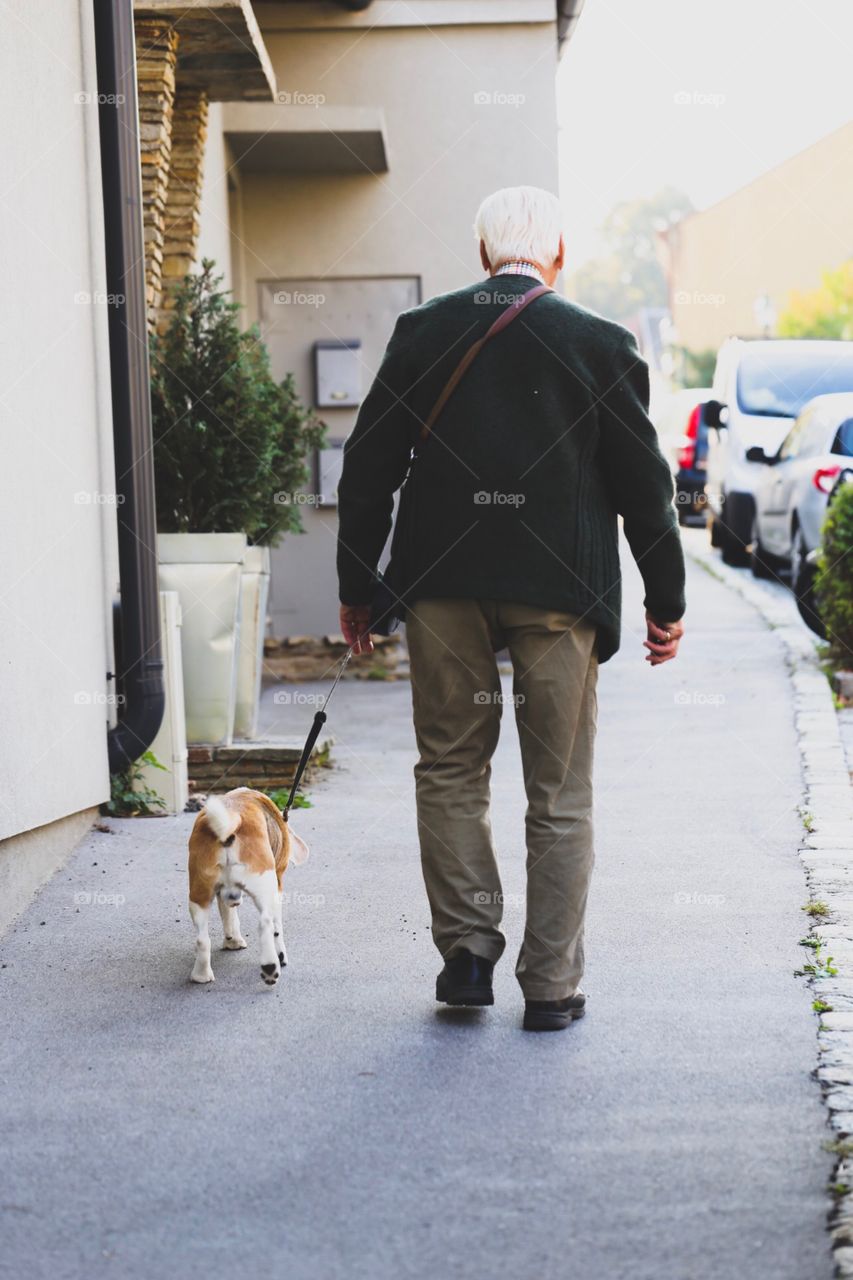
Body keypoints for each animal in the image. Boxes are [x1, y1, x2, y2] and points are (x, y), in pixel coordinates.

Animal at [185, 783, 308, 983]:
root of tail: (230, 821)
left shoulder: (222, 894)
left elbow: (229, 916)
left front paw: (232, 942)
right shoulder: (277, 887)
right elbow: (277, 928)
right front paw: (281, 956)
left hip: (198, 893)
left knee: (202, 939)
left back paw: (201, 975)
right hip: (265, 886)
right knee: (265, 923)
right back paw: (270, 967)